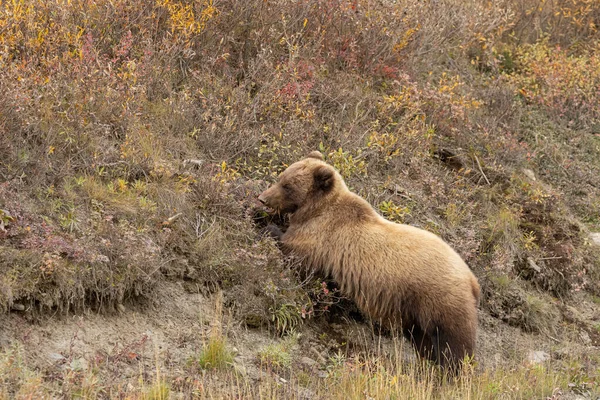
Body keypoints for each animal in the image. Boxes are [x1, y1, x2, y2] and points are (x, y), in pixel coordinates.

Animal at [256, 151, 478, 372]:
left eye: (288, 186)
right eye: (281, 177)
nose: (263, 198)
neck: (315, 209)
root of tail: (472, 278)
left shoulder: (322, 237)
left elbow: (295, 252)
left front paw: (266, 224)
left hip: (439, 298)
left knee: (453, 342)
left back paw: (451, 370)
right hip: (417, 312)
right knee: (424, 341)